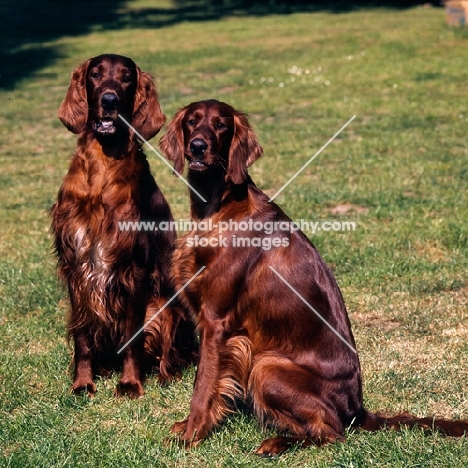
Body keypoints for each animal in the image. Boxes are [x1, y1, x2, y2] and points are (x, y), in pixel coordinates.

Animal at [51, 54, 197, 398]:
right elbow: (82, 338)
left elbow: (133, 335)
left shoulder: (135, 267)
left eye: (127, 77)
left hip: (163, 308)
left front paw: (130, 383)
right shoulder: (75, 262)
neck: (103, 165)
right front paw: (82, 382)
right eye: (95, 74)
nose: (109, 100)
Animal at [160, 99, 468, 458]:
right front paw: (188, 428)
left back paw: (277, 443)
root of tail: (357, 409)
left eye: (221, 125)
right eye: (192, 122)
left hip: (267, 365)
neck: (219, 207)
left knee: (331, 433)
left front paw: (191, 435)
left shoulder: (216, 322)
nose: (198, 146)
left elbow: (203, 384)